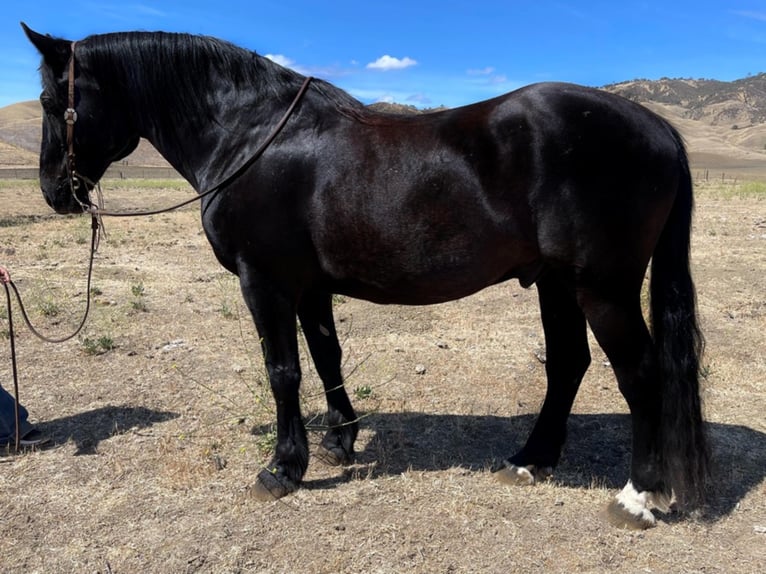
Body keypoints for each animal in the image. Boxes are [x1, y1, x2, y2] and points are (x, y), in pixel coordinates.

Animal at [22, 24, 708, 528]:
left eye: (53, 102)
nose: (55, 191)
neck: (248, 135)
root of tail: (657, 128)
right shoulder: (310, 286)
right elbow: (326, 356)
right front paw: (340, 441)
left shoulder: (264, 281)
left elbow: (283, 370)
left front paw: (283, 468)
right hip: (555, 282)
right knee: (568, 364)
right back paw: (529, 461)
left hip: (602, 287)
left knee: (641, 374)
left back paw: (637, 498)